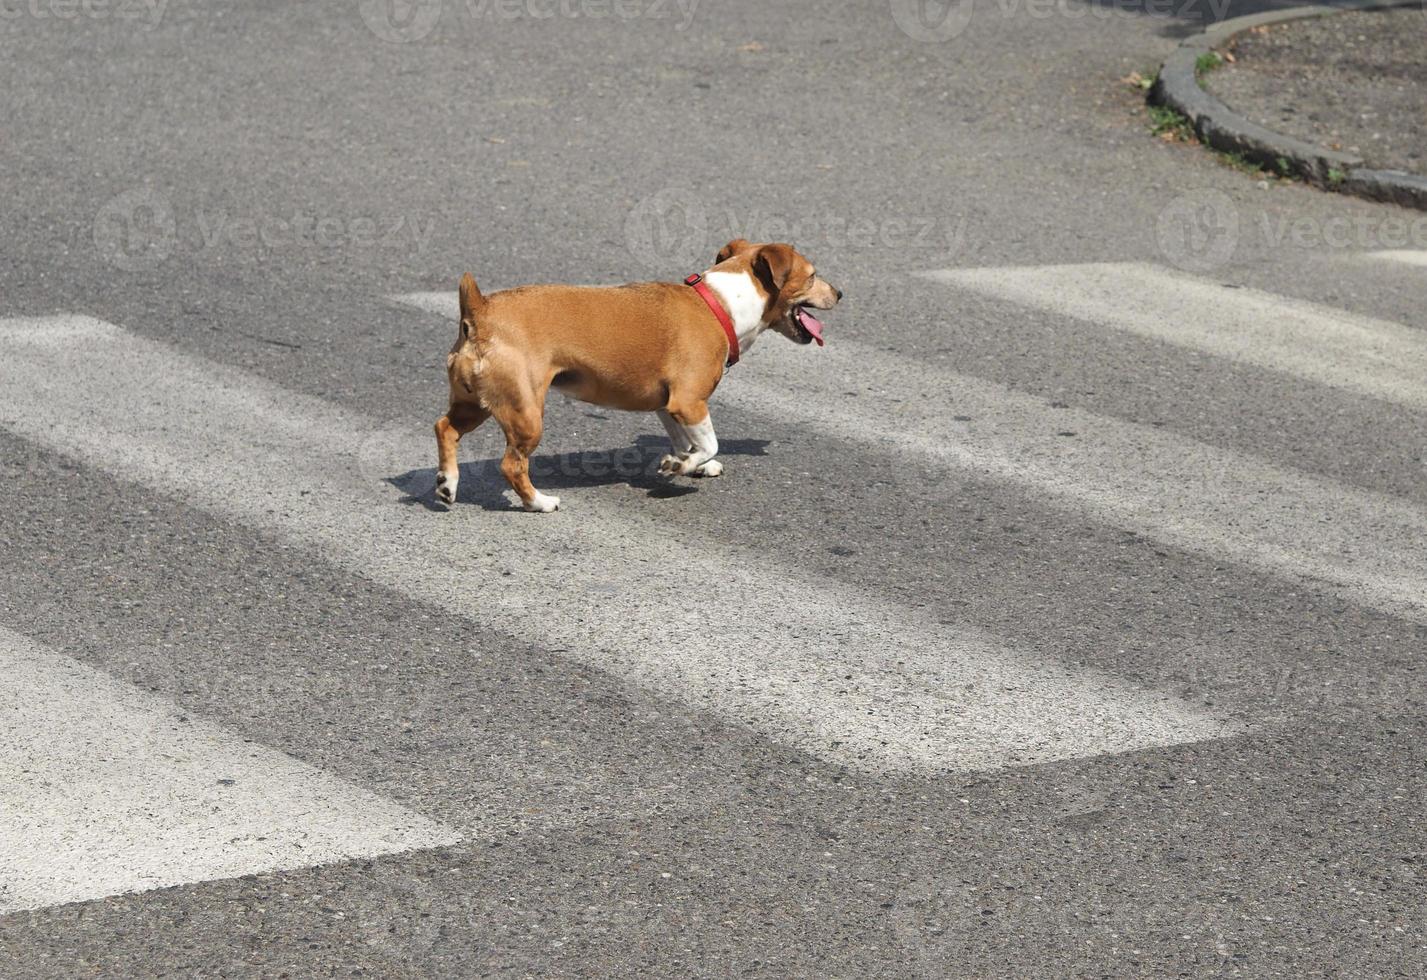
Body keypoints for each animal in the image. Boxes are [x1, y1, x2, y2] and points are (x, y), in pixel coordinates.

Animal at [428, 241, 839, 510]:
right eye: (813, 276)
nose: (839, 292)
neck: (720, 304)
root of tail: (480, 310)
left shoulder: (667, 407)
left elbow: (686, 442)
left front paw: (692, 464)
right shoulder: (689, 403)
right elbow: (709, 442)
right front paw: (684, 465)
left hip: (475, 404)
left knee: (444, 427)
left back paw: (448, 483)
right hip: (526, 414)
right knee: (512, 465)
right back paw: (538, 502)